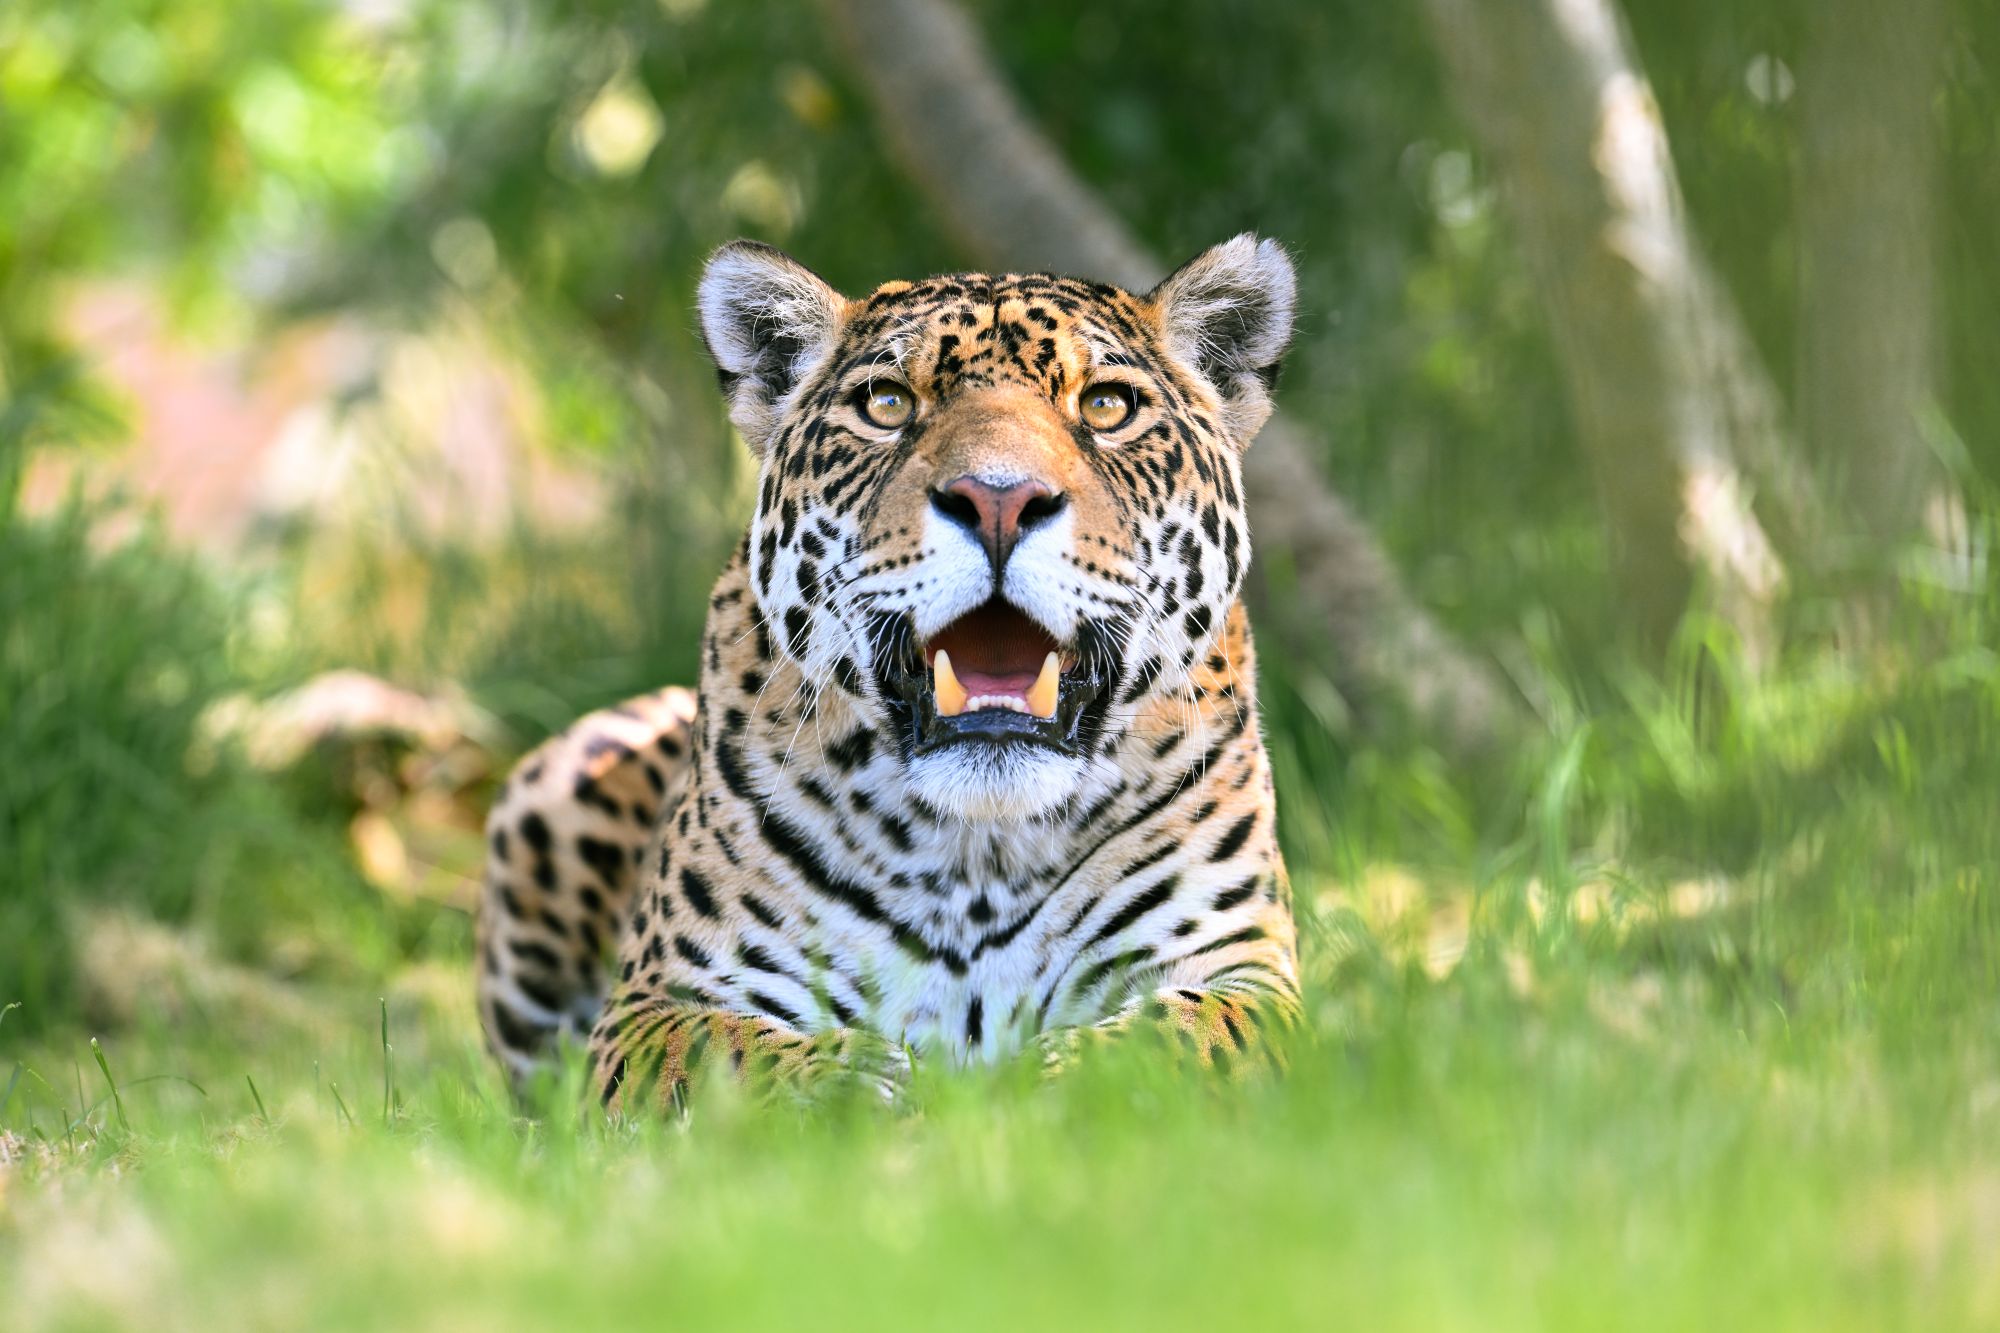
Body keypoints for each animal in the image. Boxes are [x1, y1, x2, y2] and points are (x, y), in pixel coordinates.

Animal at [475, 234, 1304, 1111]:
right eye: (887, 405)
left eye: (1109, 406)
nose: (999, 499)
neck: (983, 856)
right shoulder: (657, 1000)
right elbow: (729, 1054)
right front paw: (870, 1091)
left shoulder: (1246, 975)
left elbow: (1169, 1041)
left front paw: (1029, 1093)